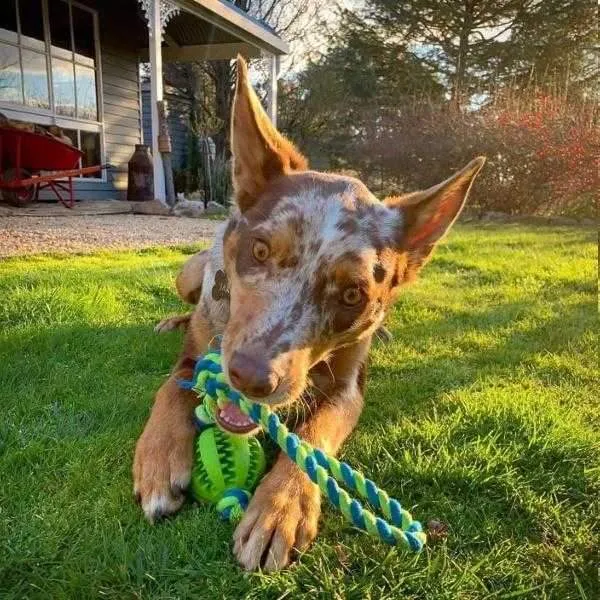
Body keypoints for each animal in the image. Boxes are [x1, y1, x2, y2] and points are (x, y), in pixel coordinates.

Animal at [134, 56, 486, 572]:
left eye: (353, 295)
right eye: (261, 249)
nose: (249, 378)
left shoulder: (347, 389)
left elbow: (316, 434)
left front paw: (279, 508)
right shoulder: (195, 356)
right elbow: (169, 388)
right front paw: (158, 465)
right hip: (187, 272)